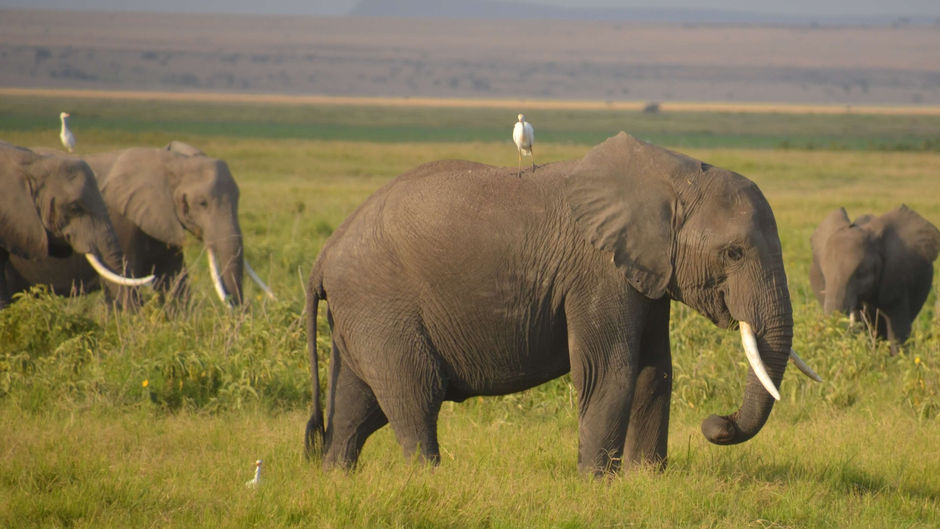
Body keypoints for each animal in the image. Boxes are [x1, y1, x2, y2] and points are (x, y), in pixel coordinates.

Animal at [303, 132, 819, 475]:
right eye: (734, 253)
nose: (717, 423)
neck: (677, 176)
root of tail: (325, 255)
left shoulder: (644, 270)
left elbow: (655, 370)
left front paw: (647, 480)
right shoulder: (596, 271)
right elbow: (609, 371)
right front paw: (598, 485)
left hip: (360, 313)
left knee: (355, 407)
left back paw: (336, 479)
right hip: (380, 304)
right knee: (414, 396)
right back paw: (428, 480)